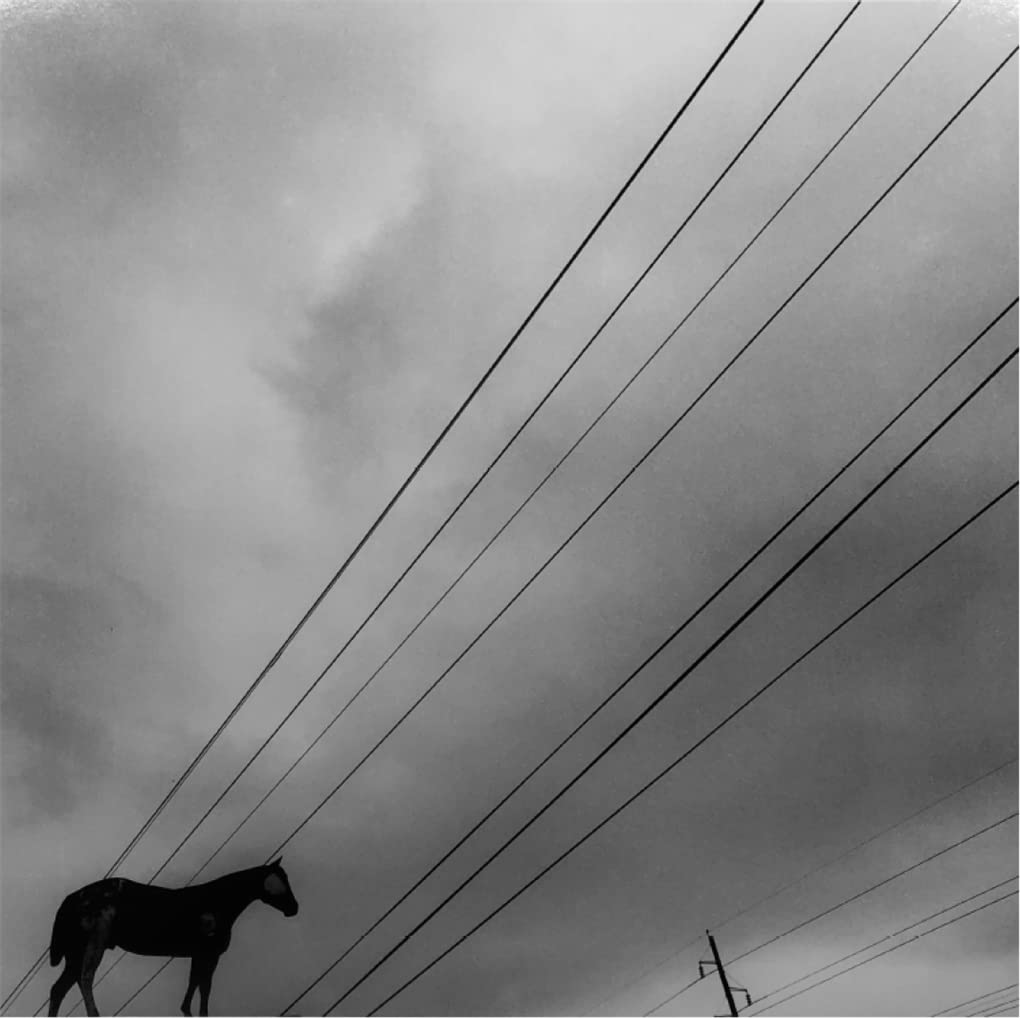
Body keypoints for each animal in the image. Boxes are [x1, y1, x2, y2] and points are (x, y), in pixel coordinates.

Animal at [47, 860, 297, 1018]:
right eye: (283, 878)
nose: (294, 908)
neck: (219, 901)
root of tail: (69, 901)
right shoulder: (209, 953)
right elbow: (204, 987)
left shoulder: (200, 954)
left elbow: (195, 985)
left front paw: (188, 1011)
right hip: (94, 942)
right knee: (85, 978)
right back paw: (95, 1013)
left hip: (75, 952)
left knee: (58, 990)